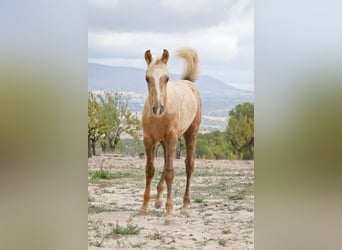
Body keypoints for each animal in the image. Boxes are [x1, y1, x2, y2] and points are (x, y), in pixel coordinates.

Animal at [140, 47, 202, 225]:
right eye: (147, 78)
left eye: (167, 78)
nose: (158, 109)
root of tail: (189, 83)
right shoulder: (148, 139)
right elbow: (150, 170)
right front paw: (144, 207)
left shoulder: (173, 138)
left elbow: (170, 173)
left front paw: (169, 213)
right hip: (164, 142)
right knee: (166, 163)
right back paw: (158, 200)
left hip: (190, 134)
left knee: (189, 165)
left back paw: (185, 206)